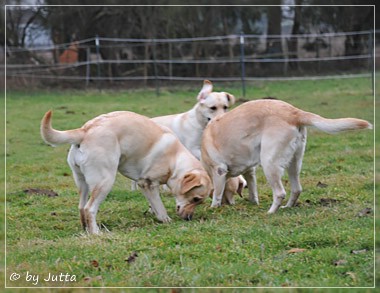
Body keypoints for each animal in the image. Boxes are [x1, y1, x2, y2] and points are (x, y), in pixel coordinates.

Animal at [42, 109, 214, 233]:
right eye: (196, 199)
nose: (188, 218)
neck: (175, 159)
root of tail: (85, 129)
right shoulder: (148, 183)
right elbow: (160, 206)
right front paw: (165, 219)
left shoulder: (146, 186)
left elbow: (153, 204)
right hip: (105, 182)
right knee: (89, 209)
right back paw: (96, 232)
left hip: (82, 183)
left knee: (81, 208)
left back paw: (86, 229)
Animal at [200, 99, 372, 213]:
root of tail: (294, 112)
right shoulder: (250, 171)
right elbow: (253, 191)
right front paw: (253, 202)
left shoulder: (218, 171)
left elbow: (217, 193)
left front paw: (213, 207)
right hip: (294, 163)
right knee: (296, 189)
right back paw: (287, 206)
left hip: (269, 163)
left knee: (280, 192)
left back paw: (270, 212)